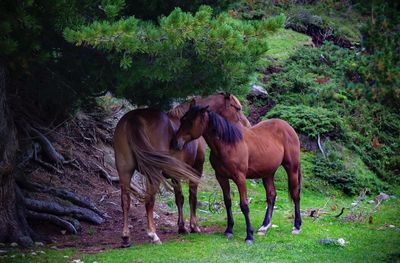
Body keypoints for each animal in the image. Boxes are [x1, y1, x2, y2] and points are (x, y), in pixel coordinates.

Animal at [113, 94, 250, 248]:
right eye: (237, 108)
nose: (247, 125)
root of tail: (134, 117)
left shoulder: (175, 175)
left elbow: (179, 198)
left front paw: (182, 227)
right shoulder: (196, 170)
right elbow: (192, 197)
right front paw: (193, 226)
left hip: (124, 170)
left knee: (125, 201)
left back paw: (126, 237)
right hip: (152, 173)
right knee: (149, 200)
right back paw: (153, 235)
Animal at [173, 104, 302, 244]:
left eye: (191, 121)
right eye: (182, 120)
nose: (176, 142)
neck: (228, 144)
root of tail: (288, 127)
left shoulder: (240, 178)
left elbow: (244, 205)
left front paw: (249, 236)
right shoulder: (221, 177)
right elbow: (227, 202)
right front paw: (229, 230)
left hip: (292, 168)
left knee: (295, 194)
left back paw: (297, 226)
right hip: (268, 173)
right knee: (271, 196)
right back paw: (264, 226)